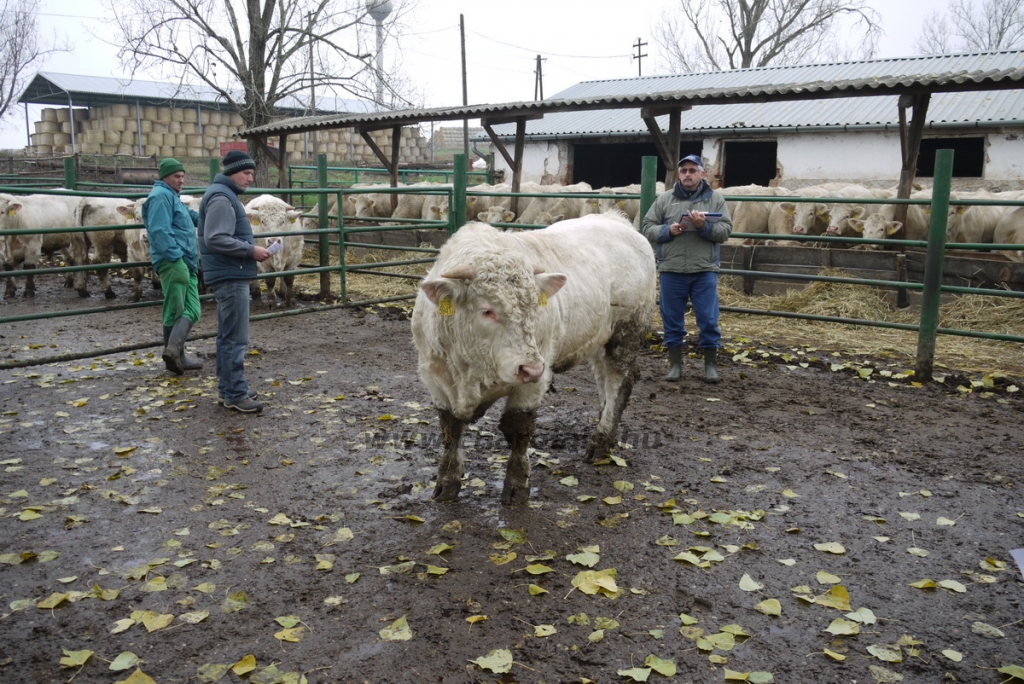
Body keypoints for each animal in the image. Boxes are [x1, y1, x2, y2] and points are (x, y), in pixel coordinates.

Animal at [409, 216, 655, 505]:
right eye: (487, 310)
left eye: (535, 307)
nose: (531, 368)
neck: (469, 373)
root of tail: (616, 218)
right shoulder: (434, 377)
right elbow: (450, 429)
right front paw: (446, 483)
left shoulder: (535, 378)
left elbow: (518, 428)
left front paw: (517, 486)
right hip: (599, 340)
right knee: (604, 380)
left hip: (626, 332)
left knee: (617, 383)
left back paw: (601, 440)